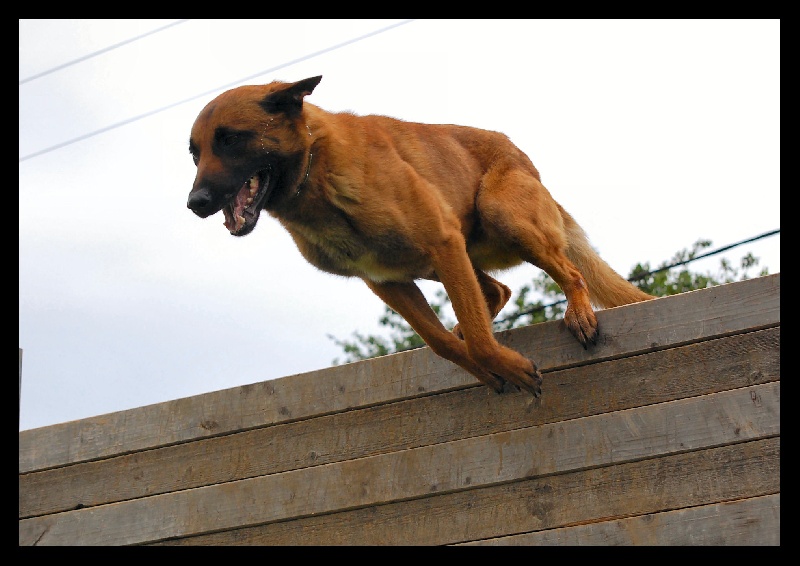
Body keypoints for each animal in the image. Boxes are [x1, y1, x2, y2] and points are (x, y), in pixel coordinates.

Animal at [191, 75, 652, 398]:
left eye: (231, 140)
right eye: (195, 153)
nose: (195, 202)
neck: (314, 168)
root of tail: (526, 161)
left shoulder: (441, 241)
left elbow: (479, 342)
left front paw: (503, 363)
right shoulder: (387, 280)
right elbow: (440, 343)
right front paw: (487, 368)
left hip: (498, 215)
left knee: (570, 273)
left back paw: (578, 313)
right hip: (442, 261)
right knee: (496, 292)